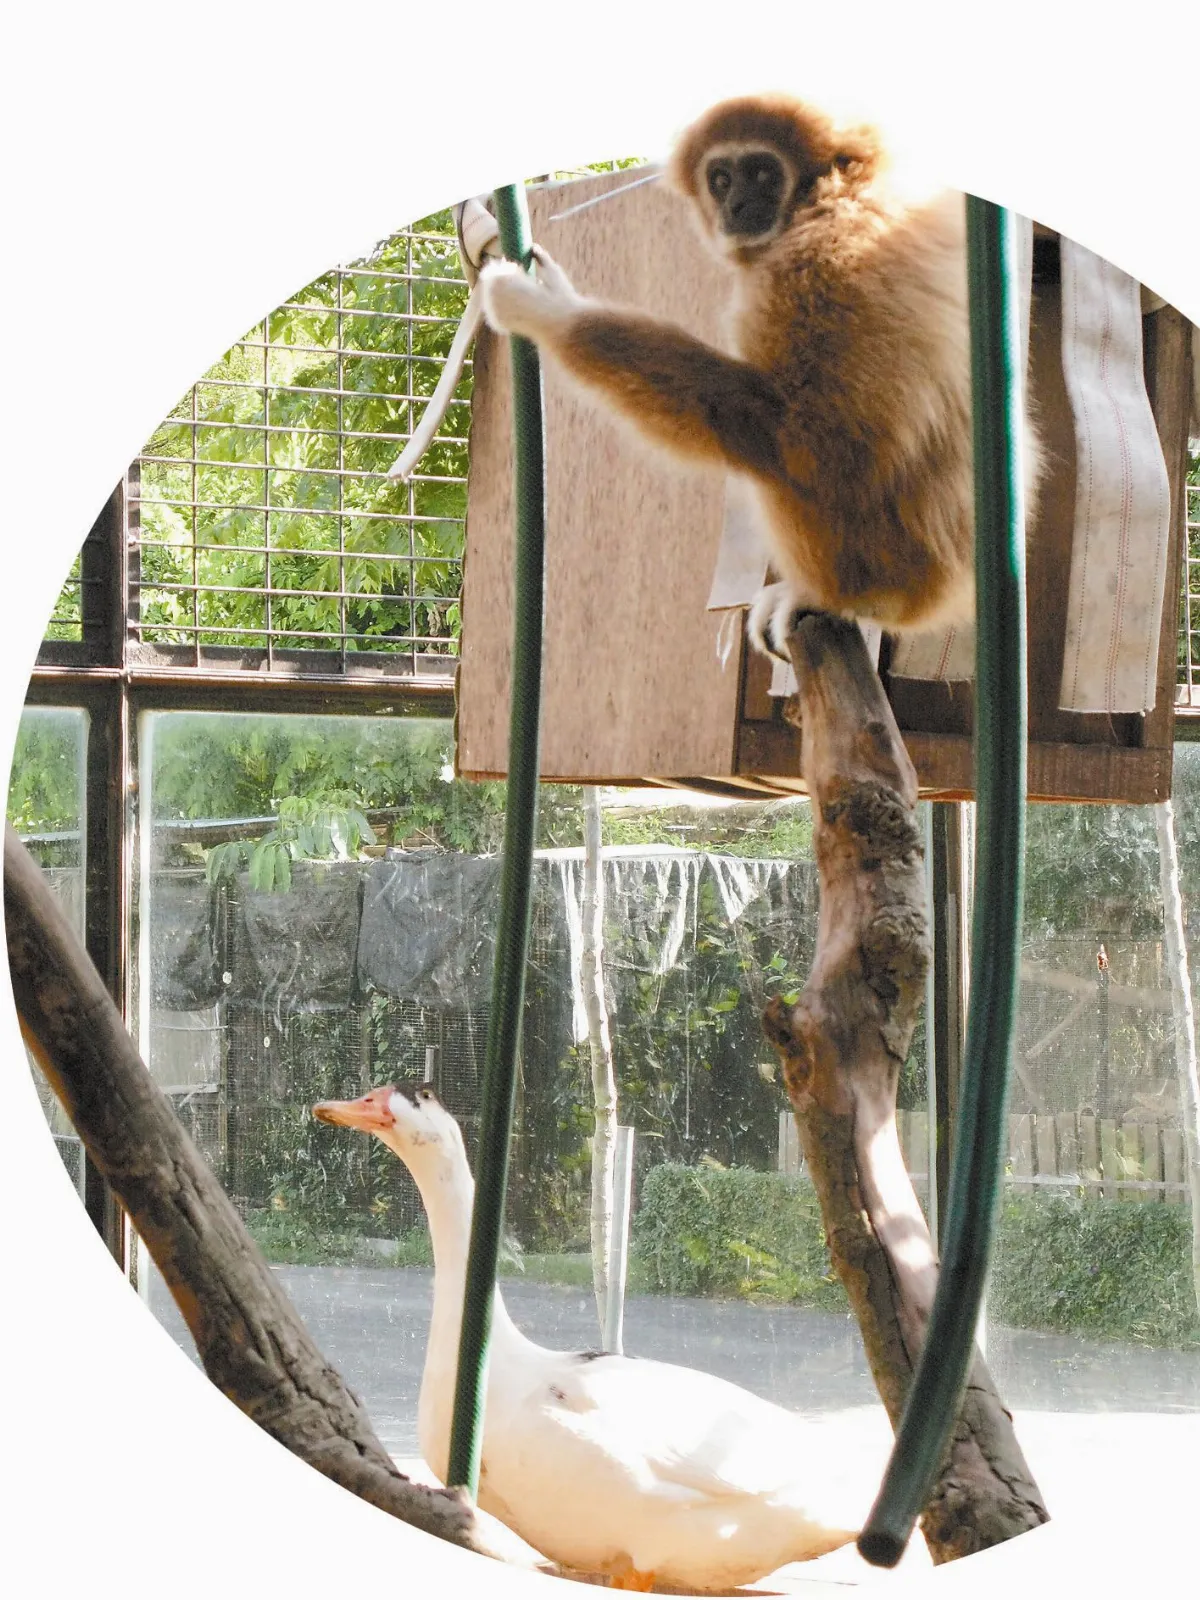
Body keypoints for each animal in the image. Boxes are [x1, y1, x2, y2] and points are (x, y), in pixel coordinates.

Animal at [479, 94, 1040, 659]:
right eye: (721, 178)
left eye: (764, 172)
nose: (737, 204)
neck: (835, 191)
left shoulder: (822, 259)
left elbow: (824, 444)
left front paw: (551, 313)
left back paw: (835, 600)